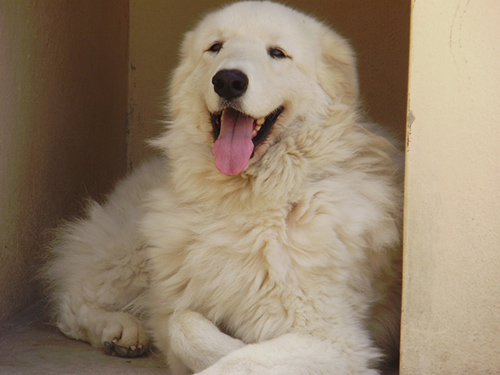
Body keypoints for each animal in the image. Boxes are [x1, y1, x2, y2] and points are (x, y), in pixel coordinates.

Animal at [45, 1, 404, 374]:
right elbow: (180, 325)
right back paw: (121, 328)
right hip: (134, 247)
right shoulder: (176, 302)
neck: (246, 203)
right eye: (215, 47)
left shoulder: (335, 340)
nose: (229, 81)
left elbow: (238, 359)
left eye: (278, 53)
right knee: (74, 302)